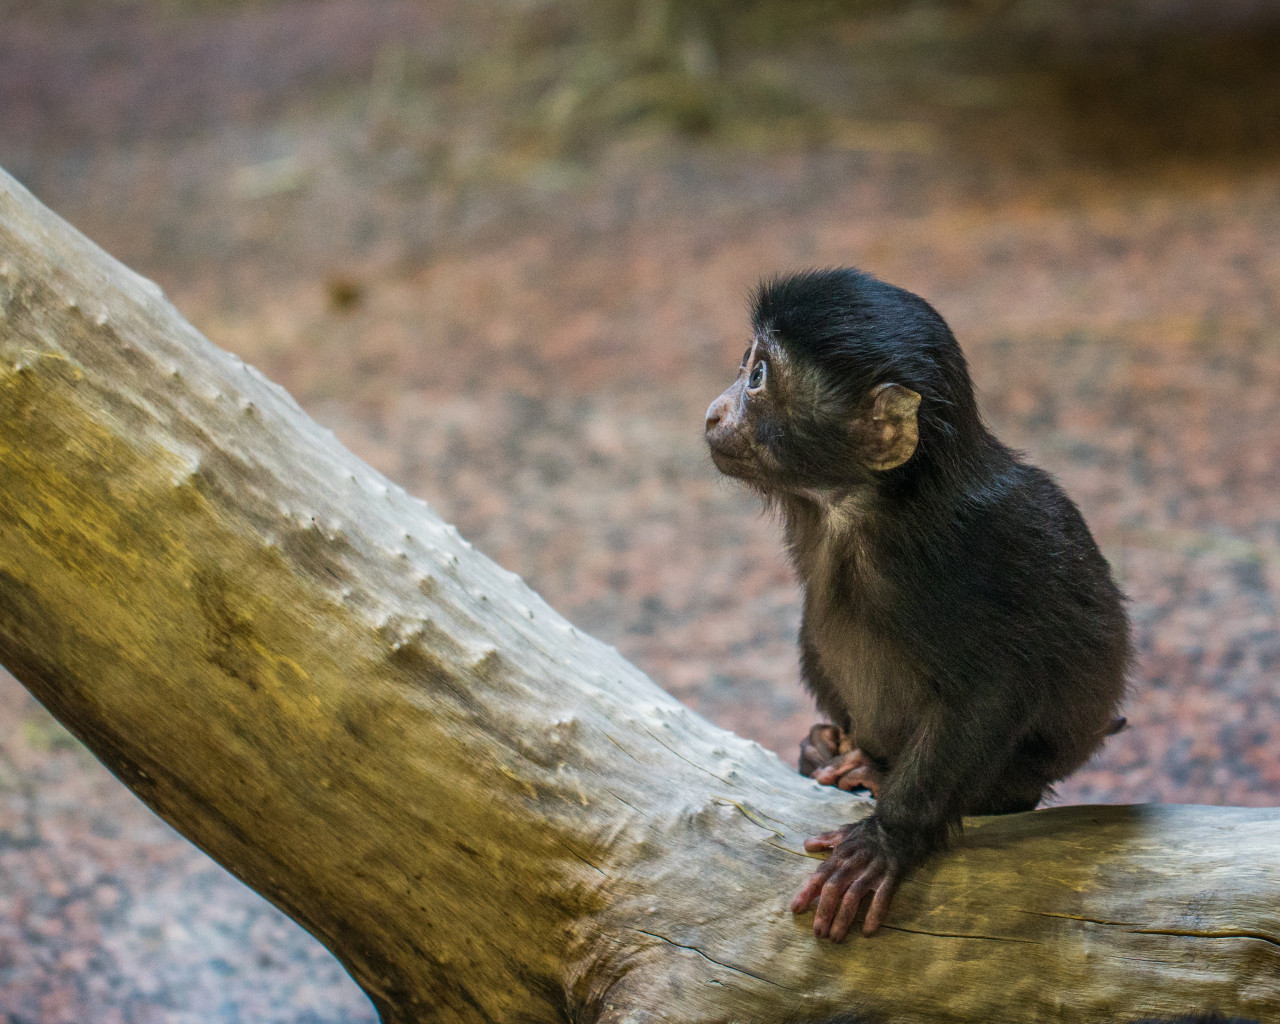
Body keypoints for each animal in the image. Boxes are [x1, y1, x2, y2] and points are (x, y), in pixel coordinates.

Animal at [704, 268, 1131, 942]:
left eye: (759, 376)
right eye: (746, 363)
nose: (714, 411)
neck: (863, 506)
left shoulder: (955, 554)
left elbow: (995, 688)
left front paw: (888, 838)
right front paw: (824, 755)